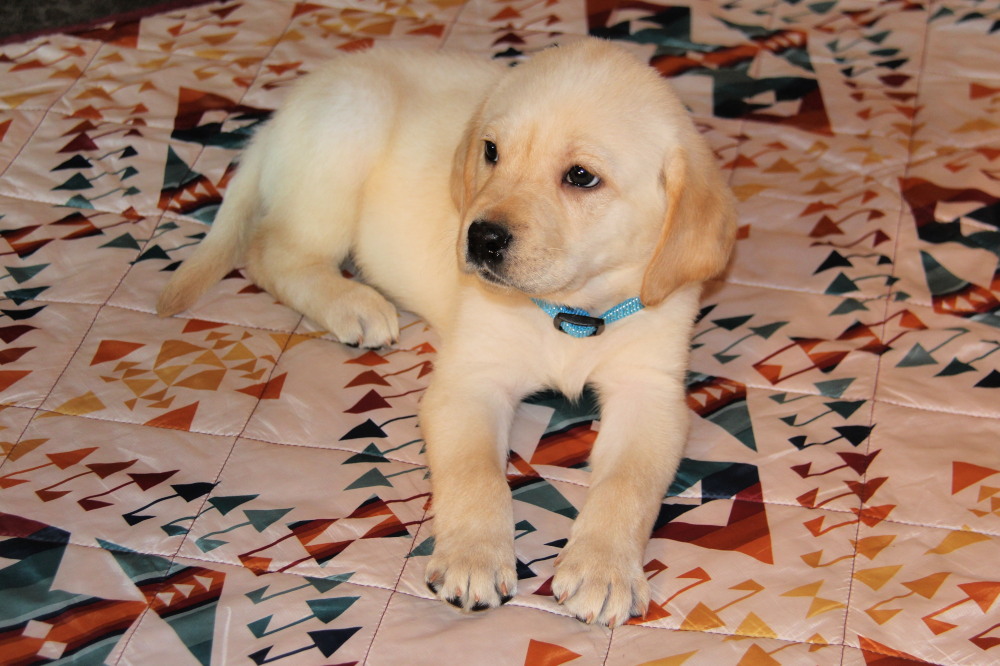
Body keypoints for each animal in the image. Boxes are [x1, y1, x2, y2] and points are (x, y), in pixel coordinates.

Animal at [156, 39, 736, 624]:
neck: (571, 312)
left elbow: (628, 484)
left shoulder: (650, 391)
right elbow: (476, 473)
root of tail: (284, 111)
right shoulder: (470, 381)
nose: (481, 238)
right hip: (346, 135)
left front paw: (604, 568)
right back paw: (354, 305)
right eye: (492, 152)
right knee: (271, 252)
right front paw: (474, 557)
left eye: (581, 177)